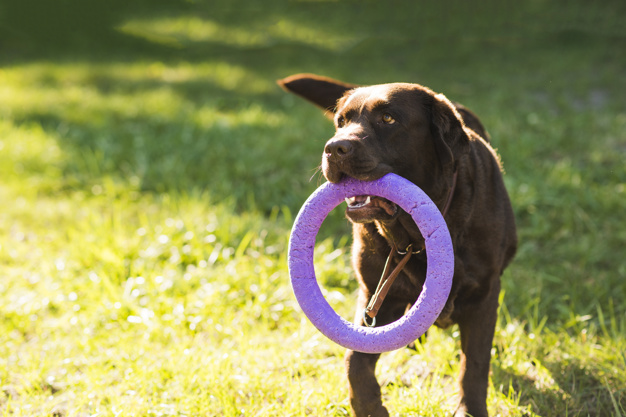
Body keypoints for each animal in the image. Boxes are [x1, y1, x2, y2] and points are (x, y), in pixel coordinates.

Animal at [276, 73, 516, 414]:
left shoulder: (483, 295)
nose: (334, 148)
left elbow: (475, 363)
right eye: (341, 121)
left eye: (388, 118)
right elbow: (354, 360)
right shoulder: (375, 297)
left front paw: (470, 409)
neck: (415, 239)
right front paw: (369, 407)